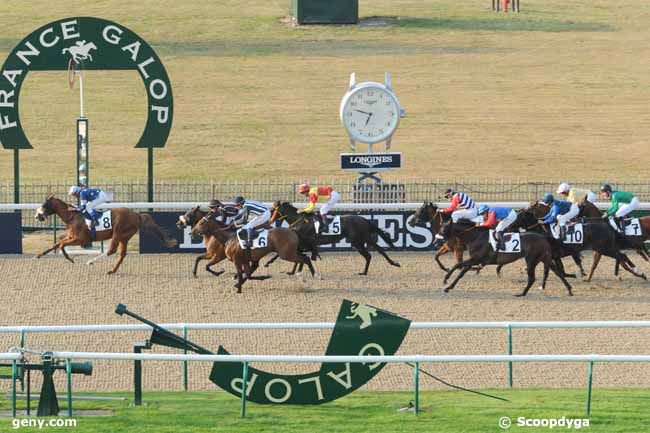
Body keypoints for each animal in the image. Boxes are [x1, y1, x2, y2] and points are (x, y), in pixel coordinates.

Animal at [34, 196, 177, 274]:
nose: (37, 216)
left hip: (118, 232)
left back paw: (91, 261)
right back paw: (112, 270)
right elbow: (56, 244)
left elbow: (62, 245)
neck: (72, 217)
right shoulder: (71, 237)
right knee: (122, 254)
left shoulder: (81, 239)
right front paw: (39, 255)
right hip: (125, 236)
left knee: (111, 250)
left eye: (44, 205)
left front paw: (70, 259)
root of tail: (136, 215)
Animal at [264, 201, 398, 276]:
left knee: (369, 255)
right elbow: (297, 258)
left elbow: (285, 255)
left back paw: (365, 271)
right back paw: (393, 263)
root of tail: (364, 220)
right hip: (365, 239)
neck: (300, 221)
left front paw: (268, 263)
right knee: (379, 250)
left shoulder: (303, 243)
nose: (267, 216)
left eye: (273, 209)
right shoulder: (300, 244)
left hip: (358, 241)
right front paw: (292, 271)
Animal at [432, 219, 568, 296]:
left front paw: (446, 279)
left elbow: (457, 265)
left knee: (533, 277)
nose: (435, 242)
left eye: (443, 229)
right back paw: (569, 290)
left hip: (531, 260)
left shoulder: (476, 259)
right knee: (557, 272)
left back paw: (522, 293)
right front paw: (448, 287)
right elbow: (461, 272)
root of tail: (543, 237)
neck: (475, 237)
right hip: (544, 258)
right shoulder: (475, 260)